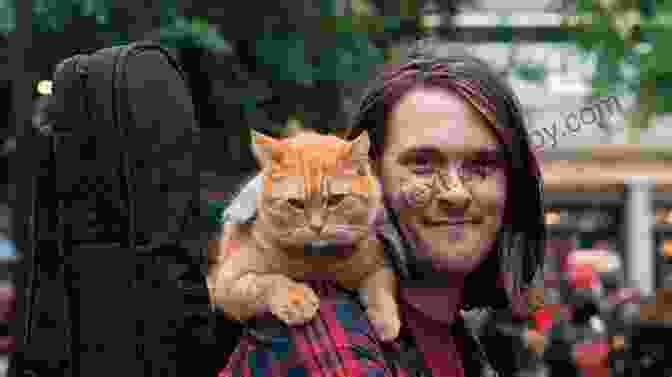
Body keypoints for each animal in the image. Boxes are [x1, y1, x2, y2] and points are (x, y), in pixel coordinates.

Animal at [209, 129, 400, 340]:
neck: (315, 262)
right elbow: (269, 281)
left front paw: (386, 319)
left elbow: (380, 289)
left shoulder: (379, 264)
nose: (316, 227)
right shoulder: (226, 282)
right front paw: (296, 299)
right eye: (296, 203)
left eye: (335, 200)